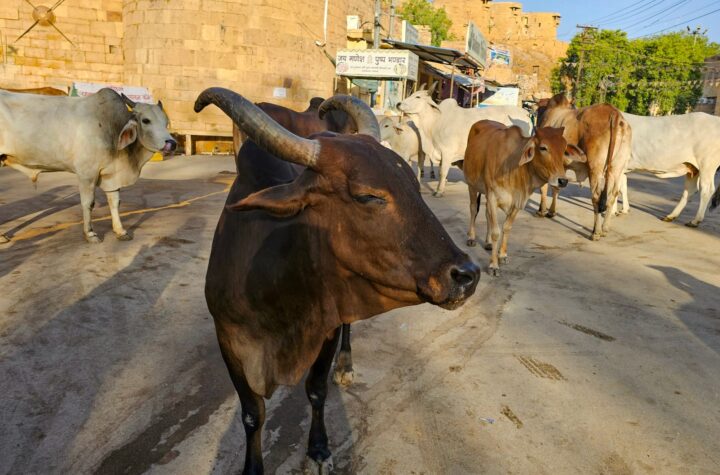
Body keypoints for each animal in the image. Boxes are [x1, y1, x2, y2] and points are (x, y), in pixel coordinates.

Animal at [0, 88, 176, 243]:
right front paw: (90, 234)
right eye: (146, 120)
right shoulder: (87, 173)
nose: (172, 143)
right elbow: (88, 203)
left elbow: (115, 202)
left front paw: (120, 231)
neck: (111, 126)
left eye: (166, 122)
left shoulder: (111, 176)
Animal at [195, 87, 480, 474]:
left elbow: (316, 389)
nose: (467, 275)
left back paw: (346, 364)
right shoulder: (228, 338)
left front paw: (319, 447)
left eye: (414, 185)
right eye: (368, 196)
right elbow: (253, 414)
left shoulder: (326, 325)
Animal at [397, 89, 533, 197]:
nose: (398, 104)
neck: (435, 121)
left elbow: (442, 172)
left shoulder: (447, 152)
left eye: (418, 97)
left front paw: (439, 192)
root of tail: (526, 114)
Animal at [459, 120, 585, 276]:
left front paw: (502, 255)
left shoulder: (517, 202)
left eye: (564, 150)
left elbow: (506, 228)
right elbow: (496, 232)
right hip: (472, 185)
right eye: (543, 148)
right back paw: (471, 238)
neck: (514, 168)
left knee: (486, 215)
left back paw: (488, 243)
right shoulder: (493, 196)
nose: (563, 181)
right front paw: (493, 265)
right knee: (473, 209)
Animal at [535, 93, 632, 240]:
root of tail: (614, 113)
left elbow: (545, 187)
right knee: (613, 195)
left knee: (596, 197)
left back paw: (595, 232)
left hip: (595, 168)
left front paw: (542, 210)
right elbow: (556, 188)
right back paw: (605, 228)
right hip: (616, 168)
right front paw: (551, 212)